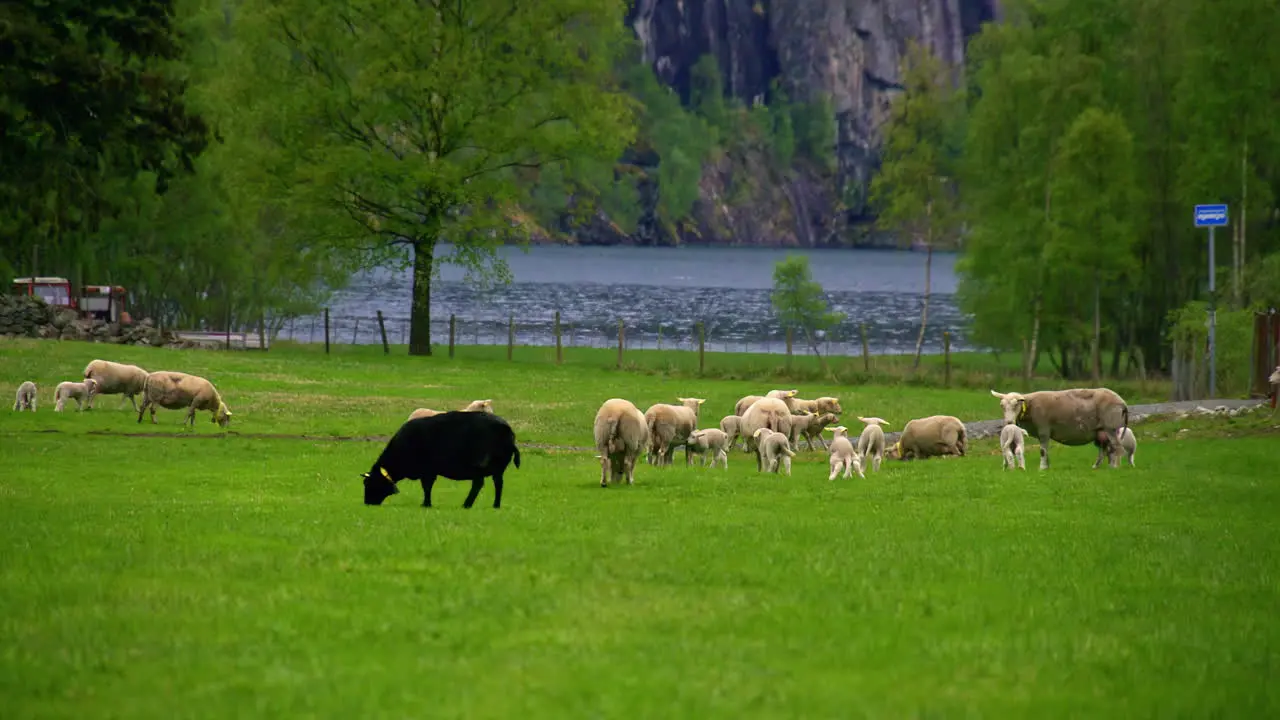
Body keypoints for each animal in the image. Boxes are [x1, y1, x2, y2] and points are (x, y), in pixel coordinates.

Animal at [360, 407, 519, 507]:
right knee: (498, 483)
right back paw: (495, 505)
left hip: (479, 464)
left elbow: (426, 487)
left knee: (478, 484)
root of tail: (506, 428)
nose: (368, 503)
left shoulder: (427, 470)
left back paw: (467, 504)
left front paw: (426, 504)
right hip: (499, 465)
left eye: (370, 483)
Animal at [988, 386, 1131, 471]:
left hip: (1111, 427)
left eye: (1016, 405)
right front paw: (1047, 467)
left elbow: (1042, 451)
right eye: (1002, 406)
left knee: (1117, 447)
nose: (1008, 422)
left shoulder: (1044, 430)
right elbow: (1046, 451)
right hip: (1100, 431)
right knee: (1105, 449)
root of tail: (1122, 402)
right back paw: (1097, 467)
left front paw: (1042, 468)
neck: (1029, 408)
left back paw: (1115, 468)